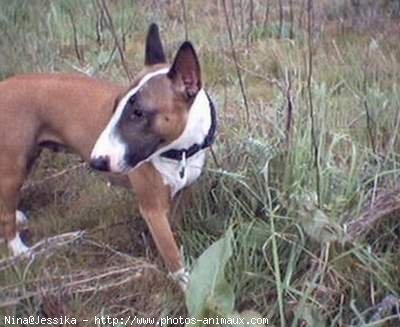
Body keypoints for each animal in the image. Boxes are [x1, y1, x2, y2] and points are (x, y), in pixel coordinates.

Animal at [0, 24, 216, 288]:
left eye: (139, 112)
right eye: (115, 106)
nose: (97, 161)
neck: (179, 152)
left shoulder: (181, 196)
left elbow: (173, 234)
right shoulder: (153, 209)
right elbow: (173, 257)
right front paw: (187, 285)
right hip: (13, 167)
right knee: (6, 216)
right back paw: (21, 251)